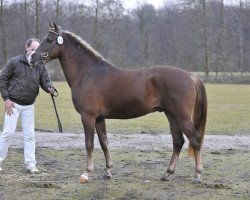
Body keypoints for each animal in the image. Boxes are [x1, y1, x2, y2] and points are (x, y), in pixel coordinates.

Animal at [31, 22, 207, 184]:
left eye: (49, 39)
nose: (32, 57)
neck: (88, 73)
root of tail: (190, 76)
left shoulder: (88, 116)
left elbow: (89, 144)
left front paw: (86, 173)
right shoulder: (99, 118)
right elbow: (104, 143)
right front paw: (107, 171)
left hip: (182, 117)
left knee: (194, 139)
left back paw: (197, 175)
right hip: (171, 115)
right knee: (178, 142)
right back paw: (167, 173)